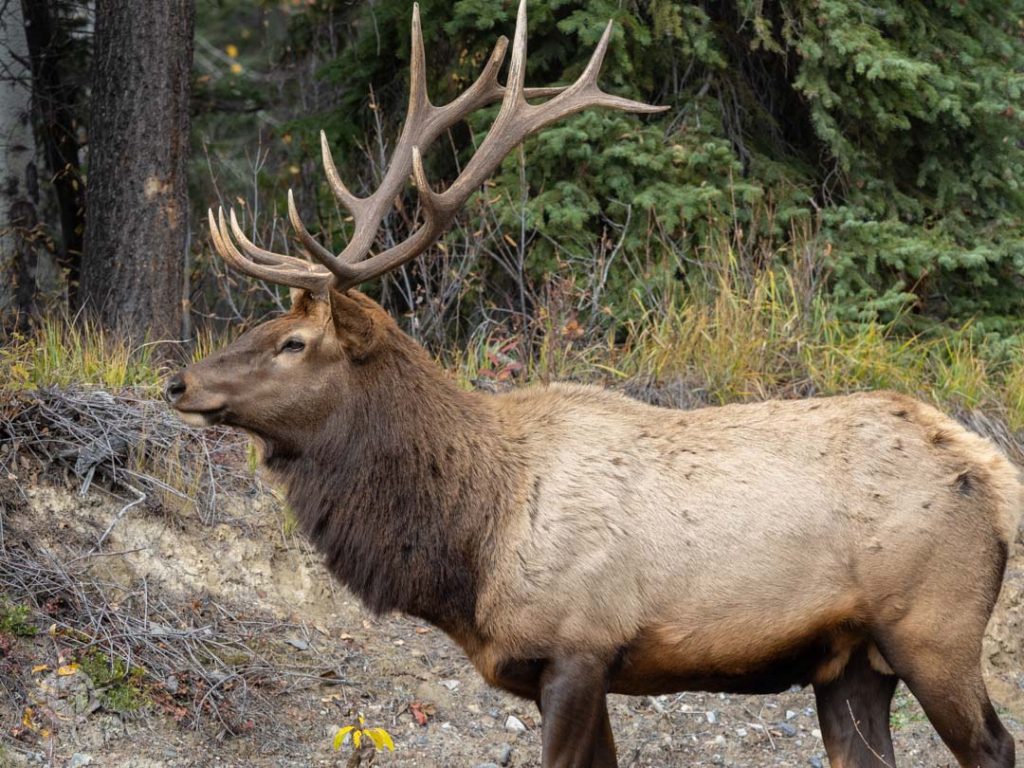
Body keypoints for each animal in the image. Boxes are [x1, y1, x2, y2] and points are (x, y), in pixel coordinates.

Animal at [165, 3, 1022, 766]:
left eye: (294, 342)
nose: (178, 381)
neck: (473, 541)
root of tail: (991, 468)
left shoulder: (578, 647)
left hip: (934, 629)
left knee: (994, 744)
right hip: (848, 662)